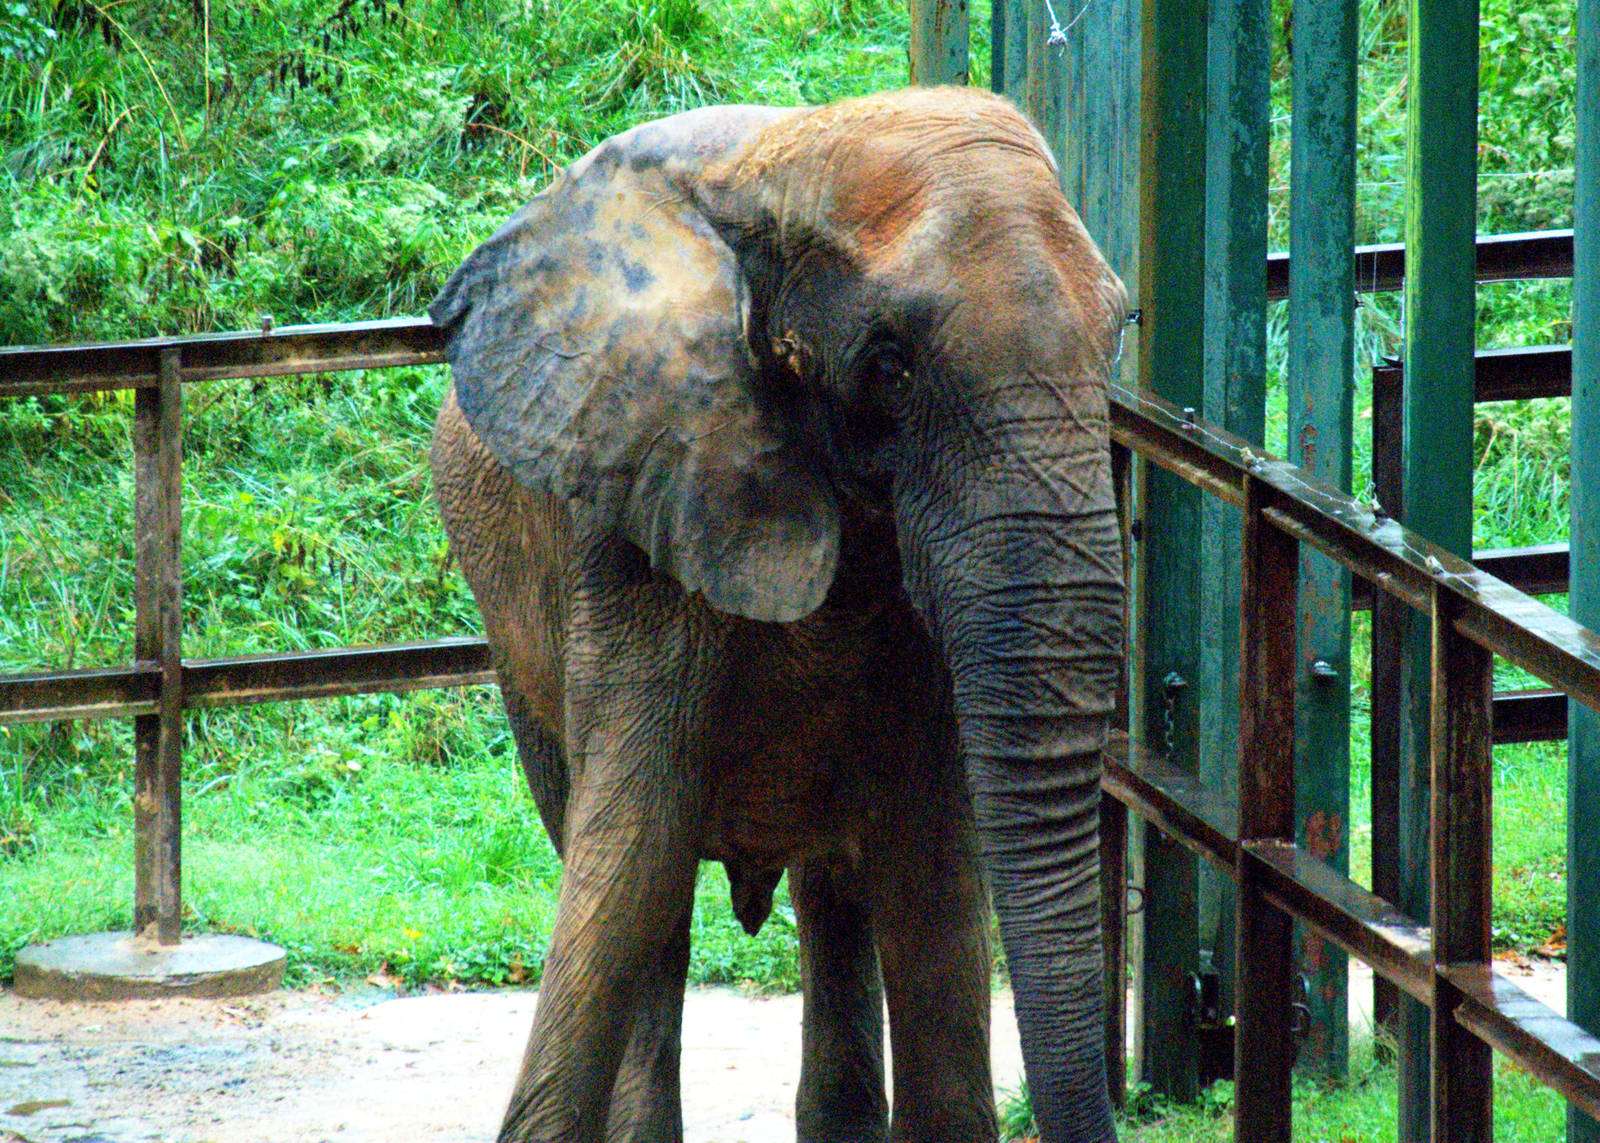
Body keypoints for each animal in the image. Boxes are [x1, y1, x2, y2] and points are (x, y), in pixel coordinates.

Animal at [428, 85, 1128, 1143]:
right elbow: (636, 848)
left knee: (835, 886)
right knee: (652, 898)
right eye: (890, 364)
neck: (780, 165)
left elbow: (931, 868)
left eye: (1120, 333)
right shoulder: (632, 505)